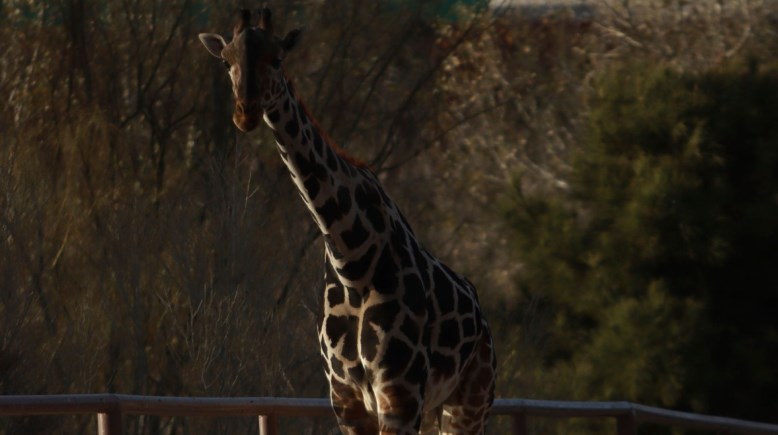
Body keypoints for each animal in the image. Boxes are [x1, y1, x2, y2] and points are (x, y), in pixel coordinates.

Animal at [197, 7, 494, 435]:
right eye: (226, 60)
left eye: (278, 58)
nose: (246, 113)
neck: (353, 260)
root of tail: (484, 319)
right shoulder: (346, 398)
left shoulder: (400, 394)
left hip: (469, 402)